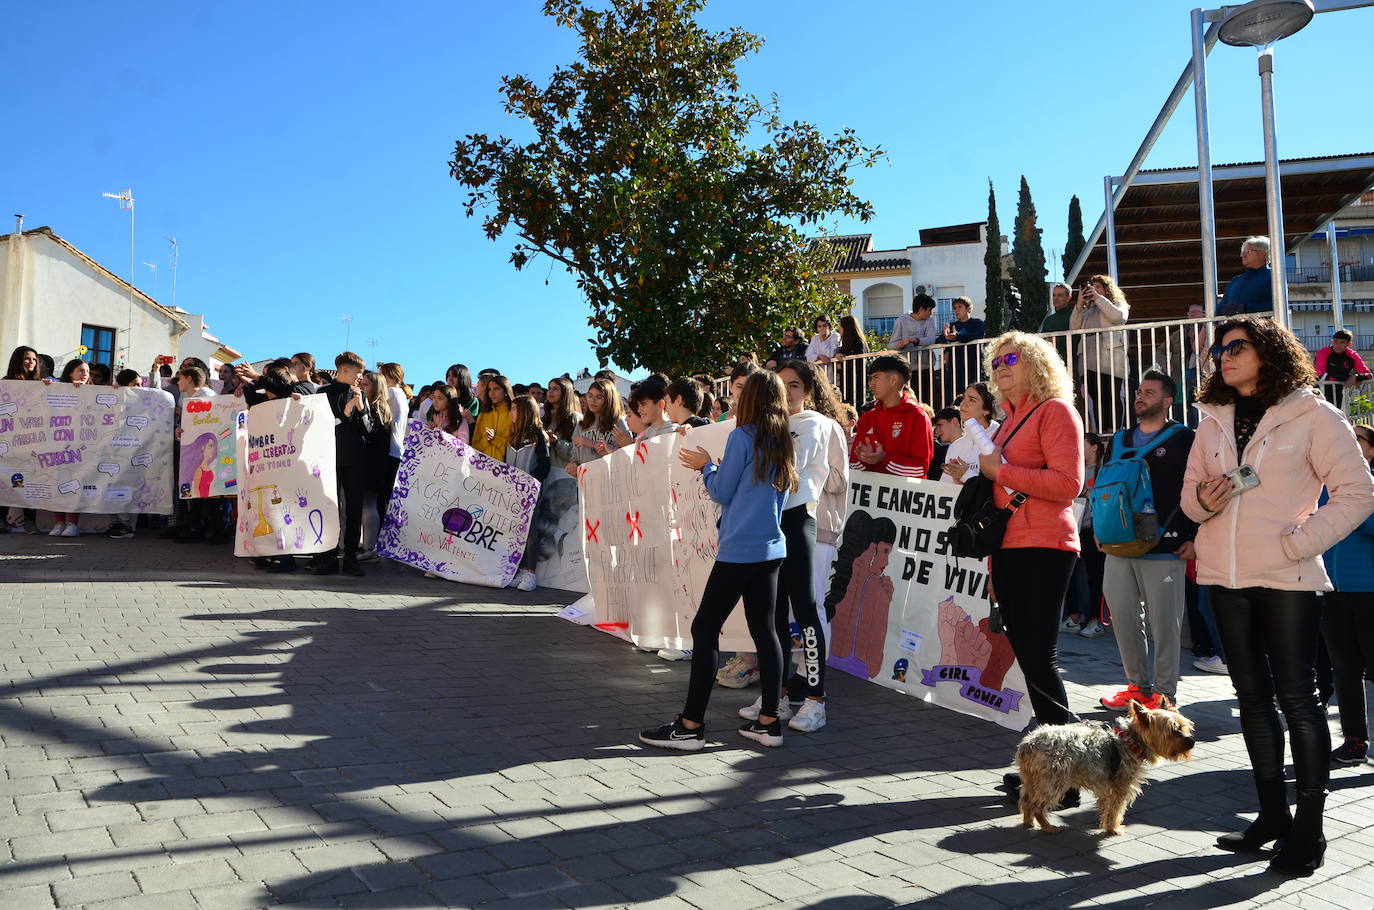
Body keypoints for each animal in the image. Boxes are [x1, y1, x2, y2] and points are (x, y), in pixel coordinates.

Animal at [1016, 701, 1198, 835]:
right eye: (1173, 731)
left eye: (1184, 727)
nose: (1192, 741)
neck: (1132, 741)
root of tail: (1028, 745)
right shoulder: (1121, 786)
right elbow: (1116, 810)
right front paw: (1113, 829)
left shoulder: (1107, 788)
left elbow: (1106, 808)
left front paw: (1107, 825)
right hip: (1053, 780)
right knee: (1037, 804)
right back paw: (1047, 827)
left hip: (1031, 778)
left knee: (1026, 799)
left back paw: (1028, 822)